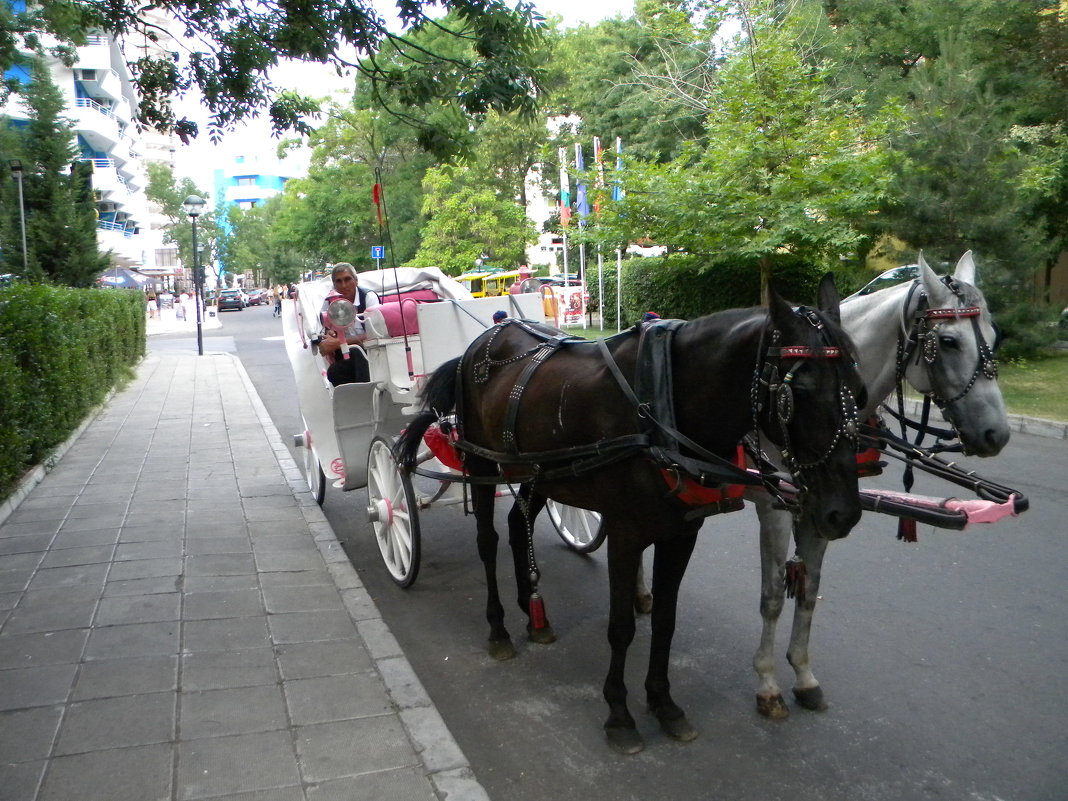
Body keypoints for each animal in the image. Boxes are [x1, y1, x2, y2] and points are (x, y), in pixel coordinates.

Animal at [397, 275, 862, 751]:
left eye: (858, 390)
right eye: (795, 393)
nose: (842, 513)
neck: (662, 404)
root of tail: (480, 342)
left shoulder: (681, 534)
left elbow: (665, 621)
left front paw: (664, 703)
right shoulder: (624, 533)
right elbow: (621, 627)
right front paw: (619, 714)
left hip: (539, 471)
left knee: (515, 525)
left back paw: (533, 611)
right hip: (481, 462)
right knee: (488, 542)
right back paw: (499, 628)